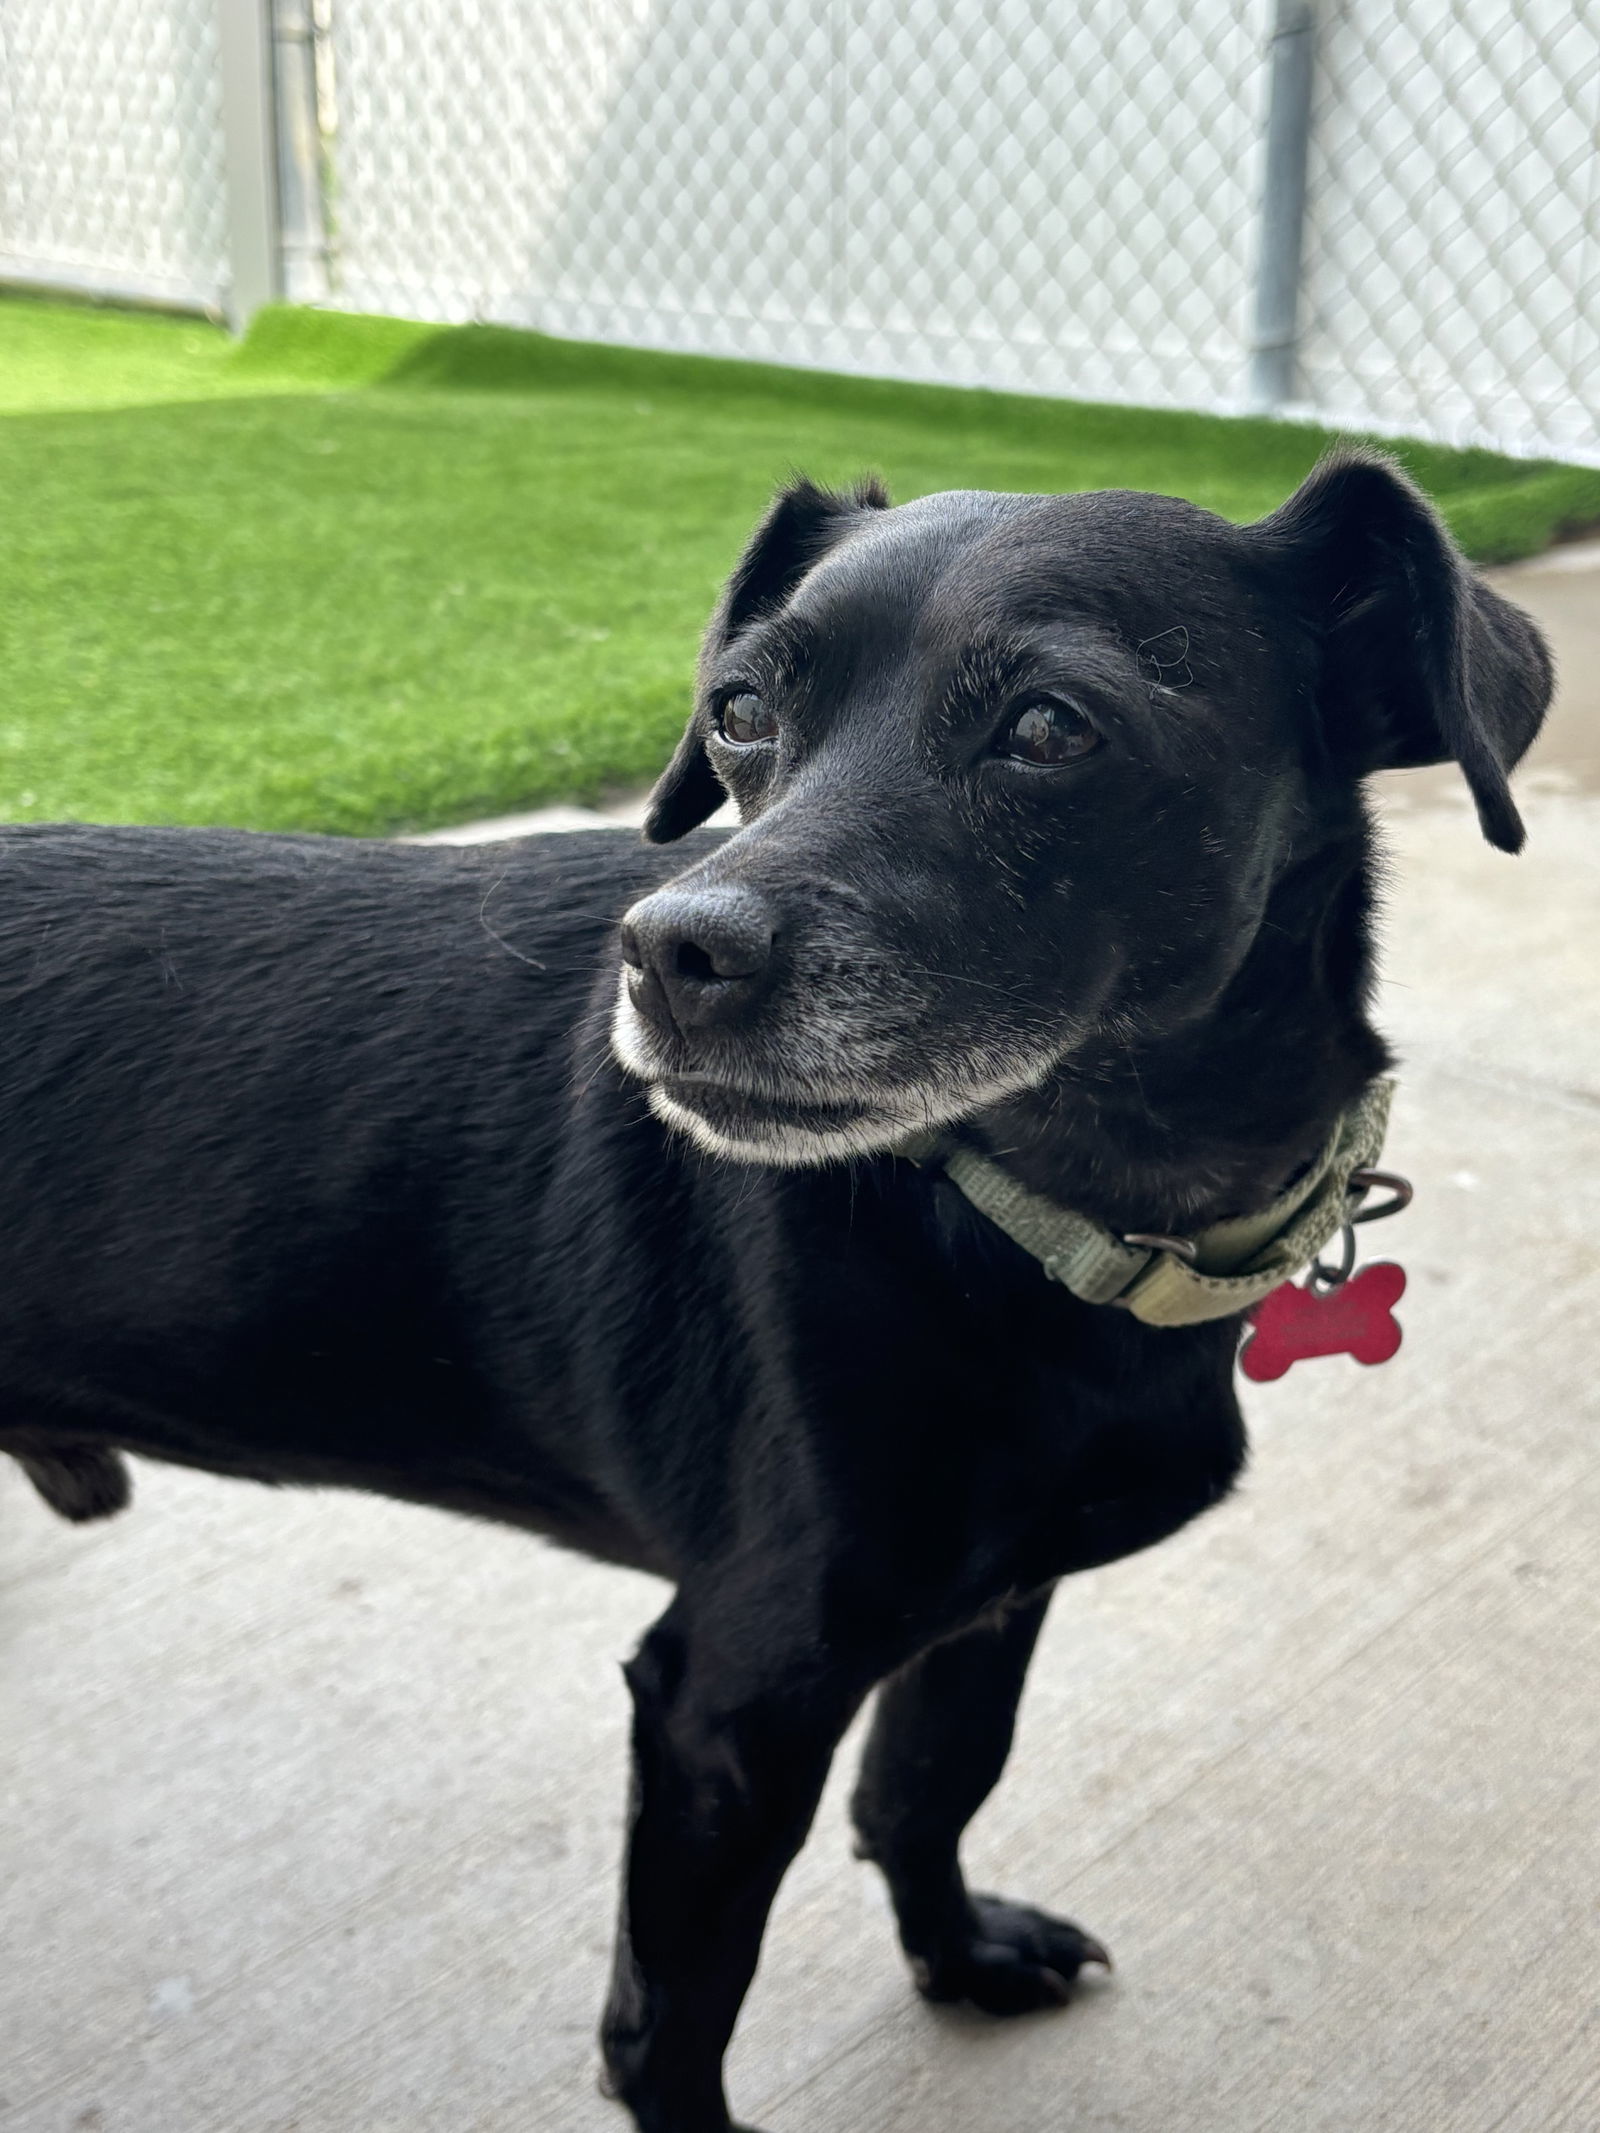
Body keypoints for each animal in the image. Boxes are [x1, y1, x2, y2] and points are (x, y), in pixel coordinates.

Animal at [3, 450, 1553, 2133]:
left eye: (1053, 727)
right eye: (738, 709)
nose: (668, 954)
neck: (1019, 1222)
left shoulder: (986, 1600)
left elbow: (927, 1787)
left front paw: (959, 1955)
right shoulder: (730, 1697)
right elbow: (672, 2020)